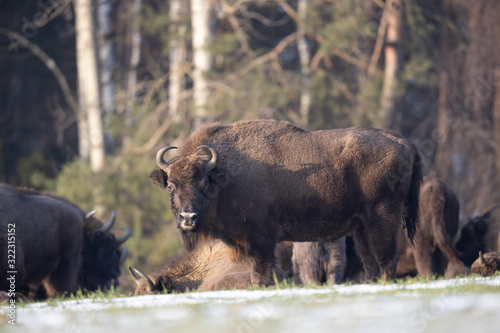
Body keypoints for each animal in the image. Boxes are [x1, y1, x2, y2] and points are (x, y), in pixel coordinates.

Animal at [149, 119, 422, 282]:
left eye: (204, 184)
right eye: (171, 185)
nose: (188, 218)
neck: (225, 175)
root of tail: (405, 142)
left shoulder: (261, 240)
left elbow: (262, 273)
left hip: (383, 216)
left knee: (387, 257)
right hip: (361, 225)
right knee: (370, 260)